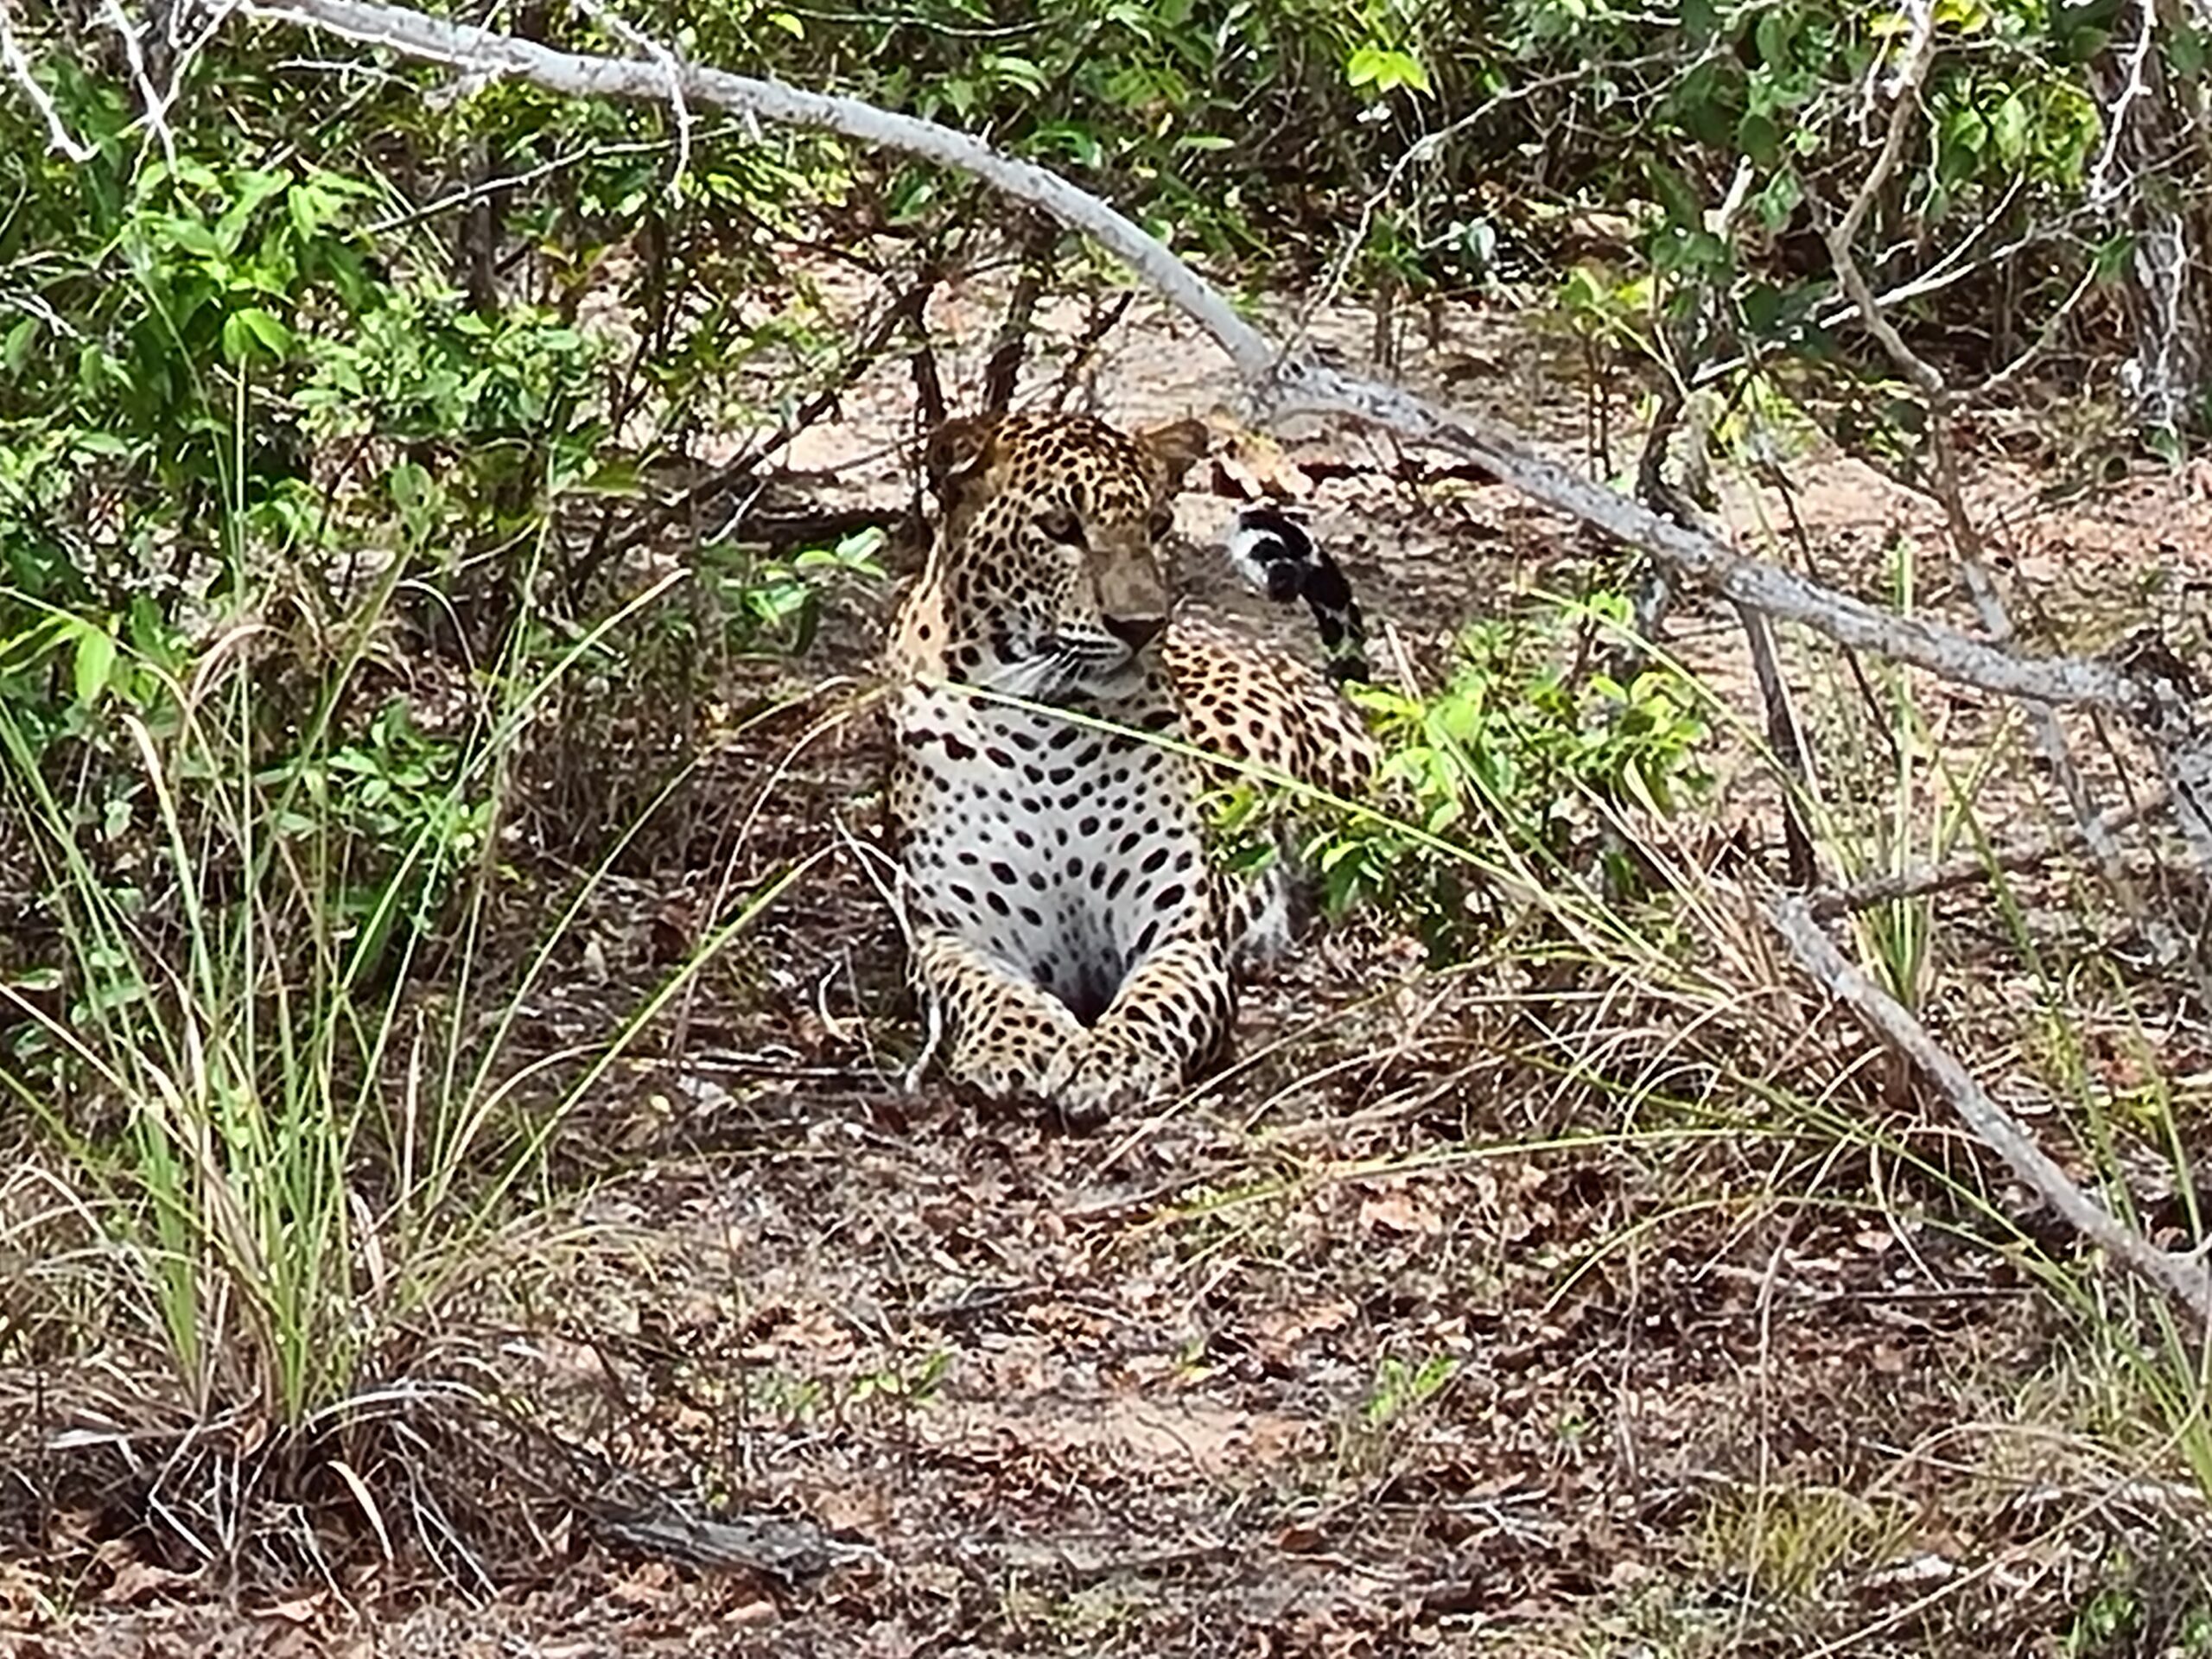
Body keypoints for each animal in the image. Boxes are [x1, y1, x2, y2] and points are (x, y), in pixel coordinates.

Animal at [875, 407, 1362, 1123]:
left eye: (1158, 527)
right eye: (1060, 528)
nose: (1142, 625)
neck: (1045, 734)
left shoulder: (1181, 934)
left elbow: (1155, 1001)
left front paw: (1111, 1058)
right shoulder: (949, 935)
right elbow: (987, 988)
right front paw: (1019, 1046)